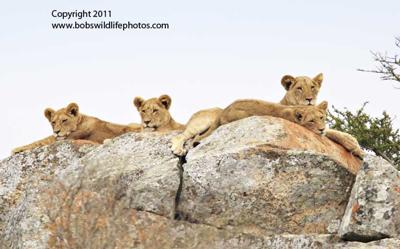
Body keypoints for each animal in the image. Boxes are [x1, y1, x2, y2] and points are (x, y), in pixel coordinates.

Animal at [12, 102, 141, 154]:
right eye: (53, 122)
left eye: (64, 120)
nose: (56, 131)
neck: (80, 121)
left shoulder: (69, 137)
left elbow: (43, 140)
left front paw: (17, 148)